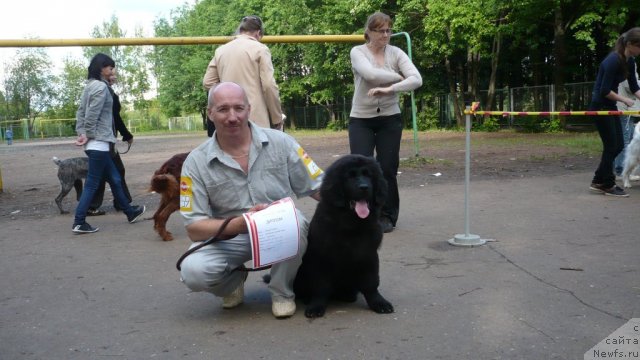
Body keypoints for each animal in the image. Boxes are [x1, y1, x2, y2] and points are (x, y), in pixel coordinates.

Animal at [296, 153, 396, 316]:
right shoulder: (322, 257)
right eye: (350, 177)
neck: (352, 224)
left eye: (368, 175)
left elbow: (371, 283)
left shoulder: (369, 254)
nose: (364, 187)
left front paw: (379, 302)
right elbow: (320, 286)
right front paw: (316, 306)